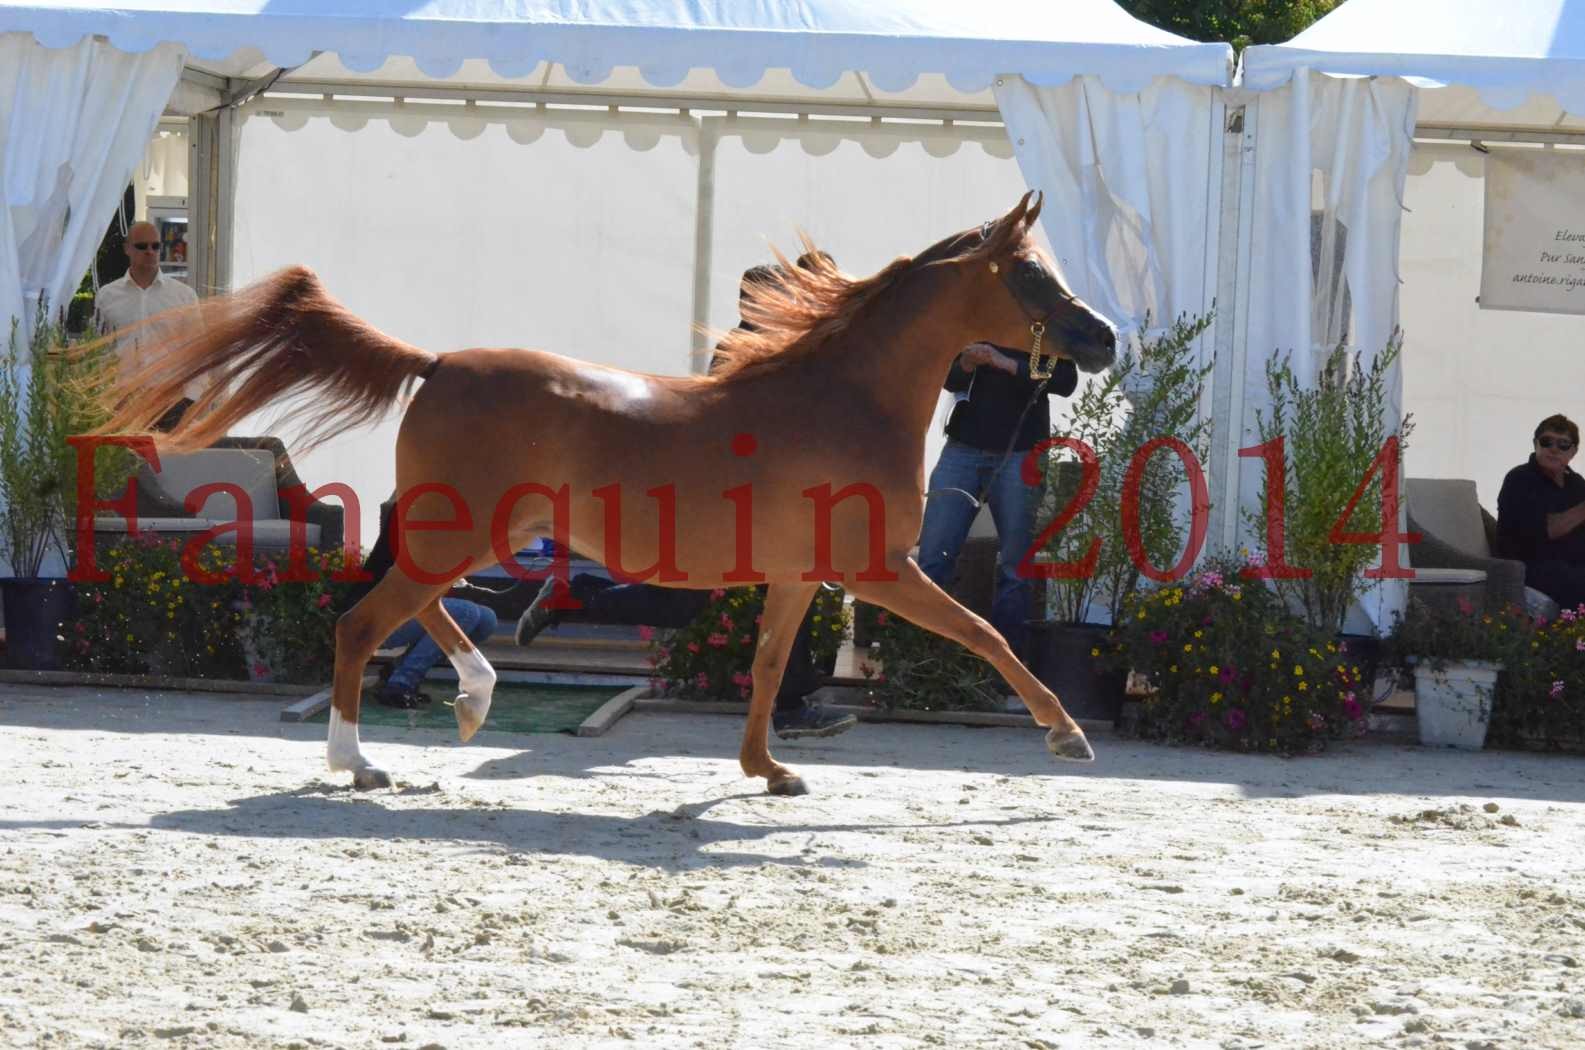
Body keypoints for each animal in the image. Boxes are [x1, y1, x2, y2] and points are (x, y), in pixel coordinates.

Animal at [102, 191, 1115, 799]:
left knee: (416, 606)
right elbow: (987, 635)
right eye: (1030, 273)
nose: (1101, 337)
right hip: (460, 531)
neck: (842, 397)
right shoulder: (880, 570)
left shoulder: (801, 579)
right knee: (362, 622)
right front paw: (1066, 736)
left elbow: (768, 668)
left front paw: (768, 770)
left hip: (469, 533)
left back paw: (473, 698)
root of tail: (437, 363)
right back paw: (362, 763)